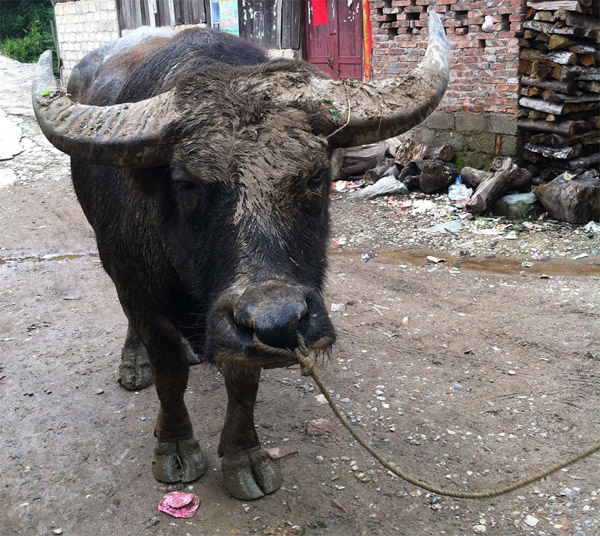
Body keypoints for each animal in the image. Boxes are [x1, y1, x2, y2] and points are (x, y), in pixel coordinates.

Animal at [31, 14, 446, 500]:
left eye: (314, 177)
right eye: (187, 183)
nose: (278, 320)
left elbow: (244, 381)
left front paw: (245, 456)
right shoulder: (138, 285)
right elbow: (169, 373)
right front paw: (175, 447)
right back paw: (135, 363)